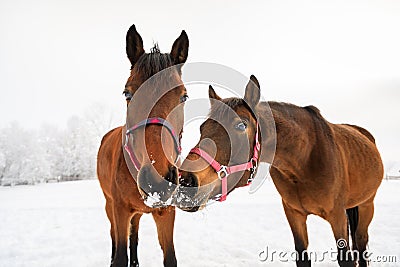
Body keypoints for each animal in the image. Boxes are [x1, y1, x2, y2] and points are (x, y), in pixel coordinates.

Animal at [98, 24, 189, 266]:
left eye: (184, 97)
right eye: (127, 93)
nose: (157, 181)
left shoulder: (166, 212)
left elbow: (169, 257)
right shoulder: (120, 210)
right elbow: (120, 254)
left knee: (135, 235)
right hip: (109, 206)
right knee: (114, 235)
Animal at [179, 76, 384, 267]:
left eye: (241, 125)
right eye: (203, 127)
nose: (186, 181)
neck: (304, 162)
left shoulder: (337, 216)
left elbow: (346, 258)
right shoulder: (294, 214)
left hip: (367, 205)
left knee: (361, 243)